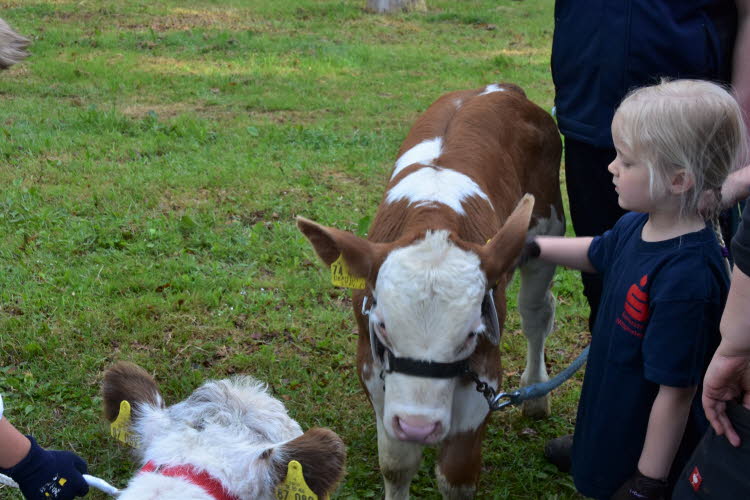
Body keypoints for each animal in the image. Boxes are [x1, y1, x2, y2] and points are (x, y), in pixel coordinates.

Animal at [296, 84, 560, 498]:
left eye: (471, 333)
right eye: (383, 326)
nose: (418, 426)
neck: (433, 216)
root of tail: (498, 88)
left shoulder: (485, 369)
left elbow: (456, 473)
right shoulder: (371, 365)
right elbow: (396, 463)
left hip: (546, 228)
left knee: (536, 313)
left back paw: (536, 392)